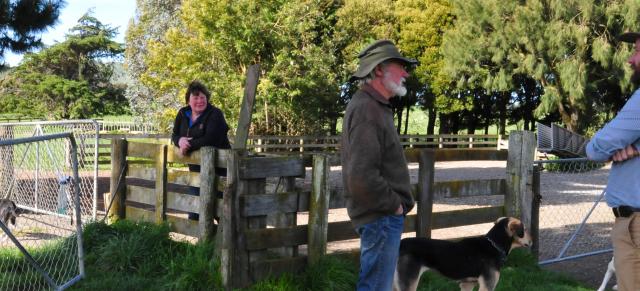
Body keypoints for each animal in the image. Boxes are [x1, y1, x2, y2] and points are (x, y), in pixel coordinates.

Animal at [392, 217, 532, 291]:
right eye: (524, 230)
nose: (532, 241)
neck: (493, 245)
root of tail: (401, 244)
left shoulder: (467, 284)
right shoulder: (487, 285)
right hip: (408, 282)